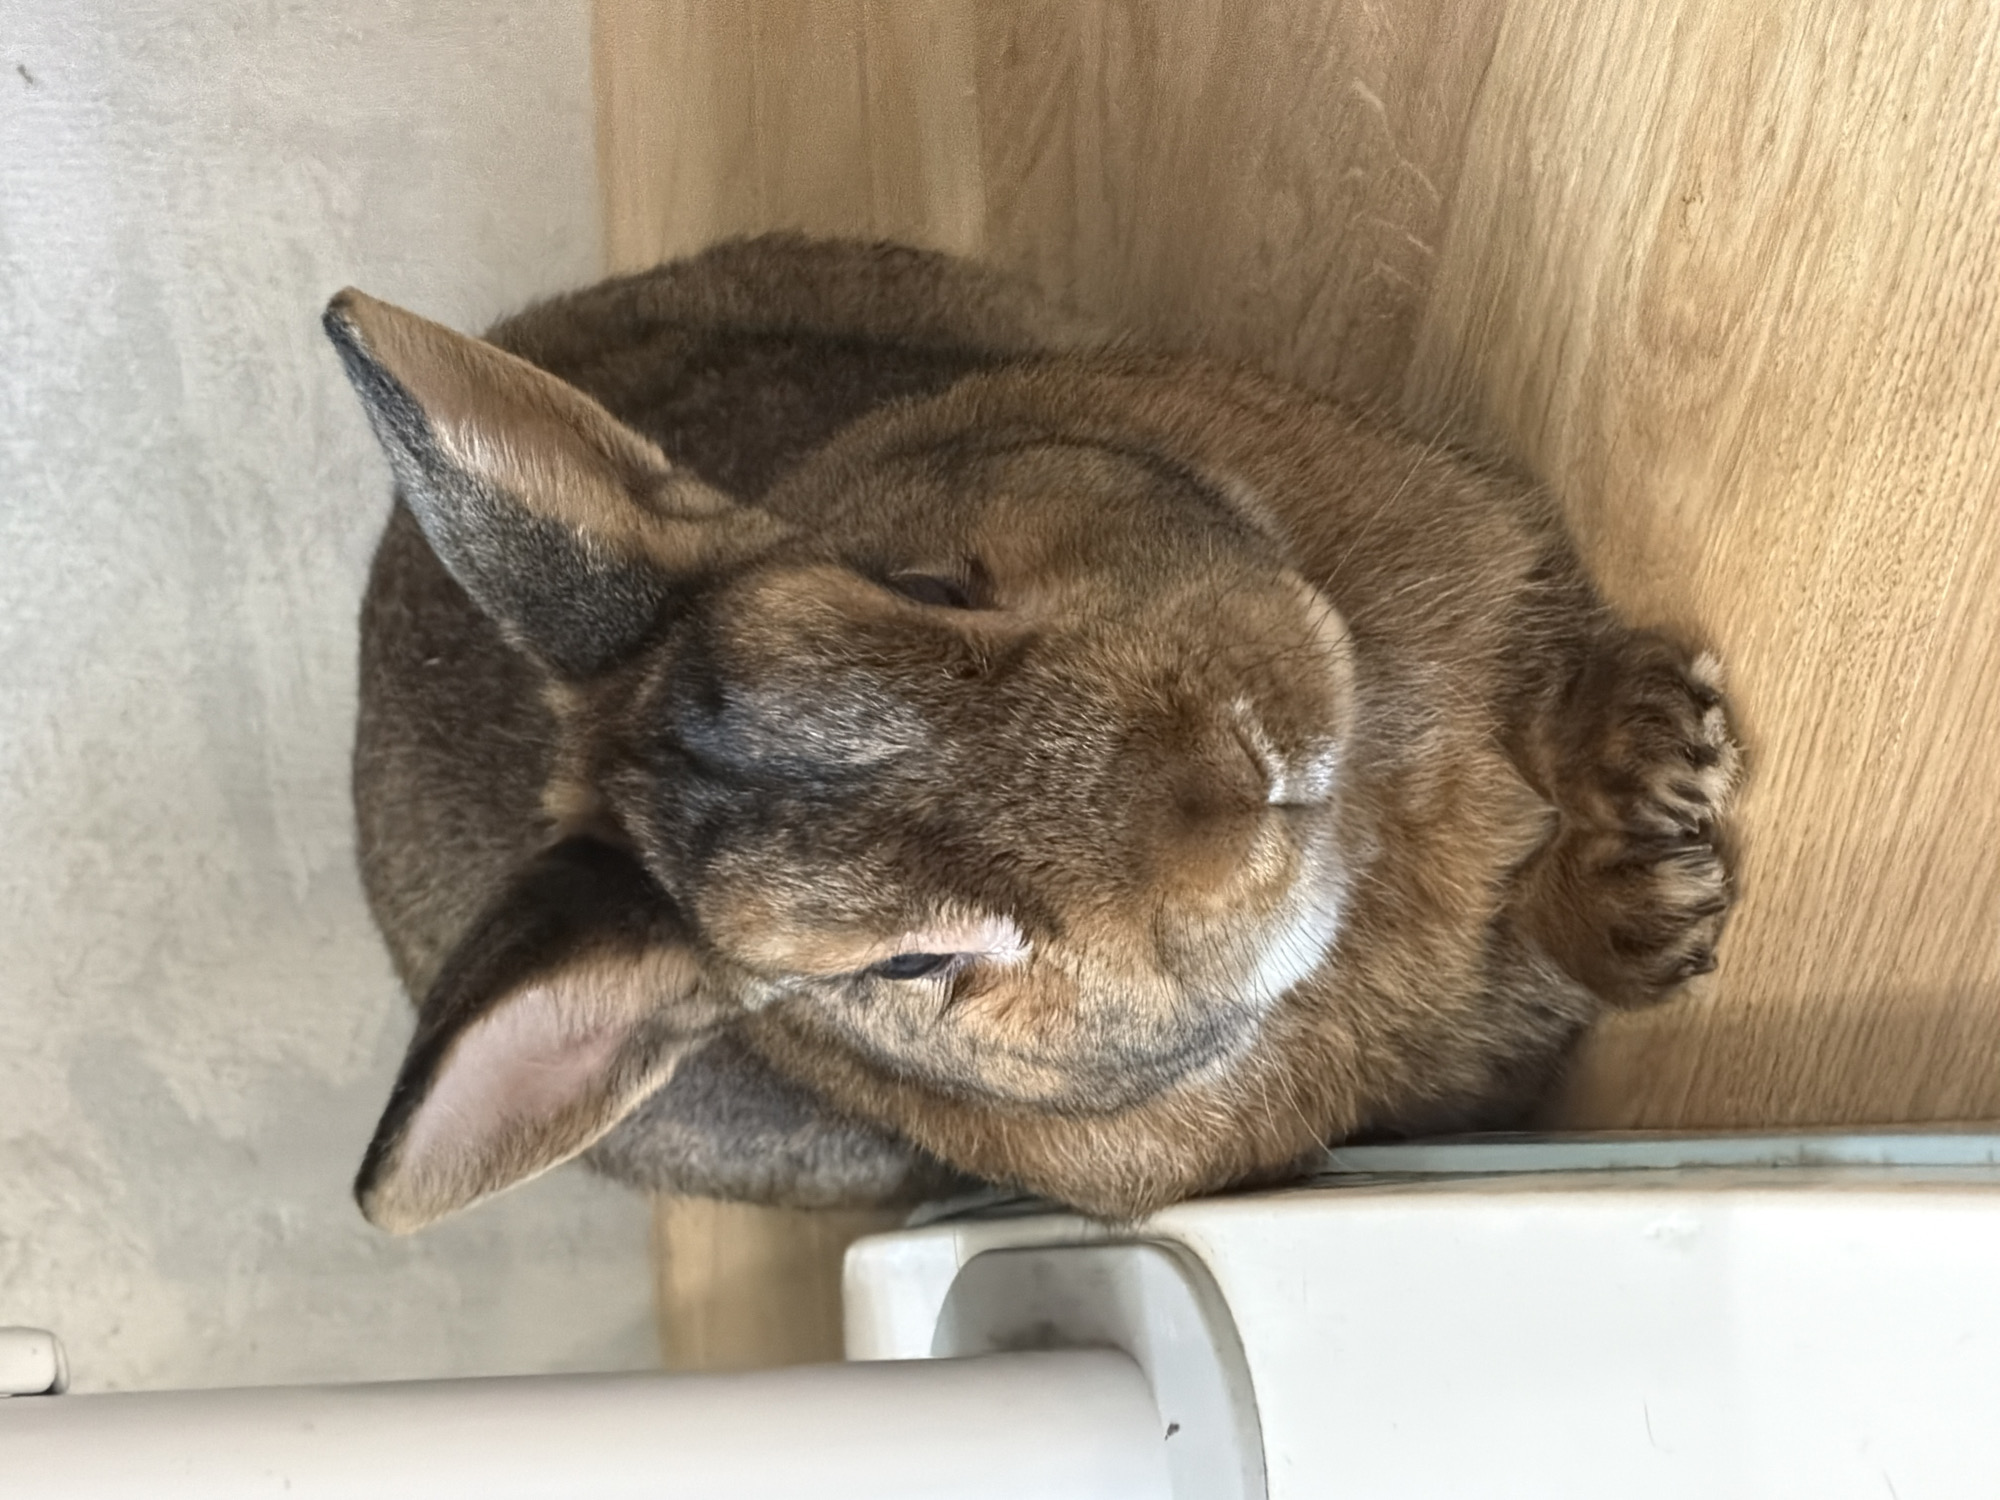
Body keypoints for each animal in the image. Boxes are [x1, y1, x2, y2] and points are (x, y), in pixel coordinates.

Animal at [324, 233, 1740, 1234]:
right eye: (903, 966)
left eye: (922, 585)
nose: (1234, 780)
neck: (1378, 825)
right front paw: (1653, 900)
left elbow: (1549, 691)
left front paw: (1654, 778)